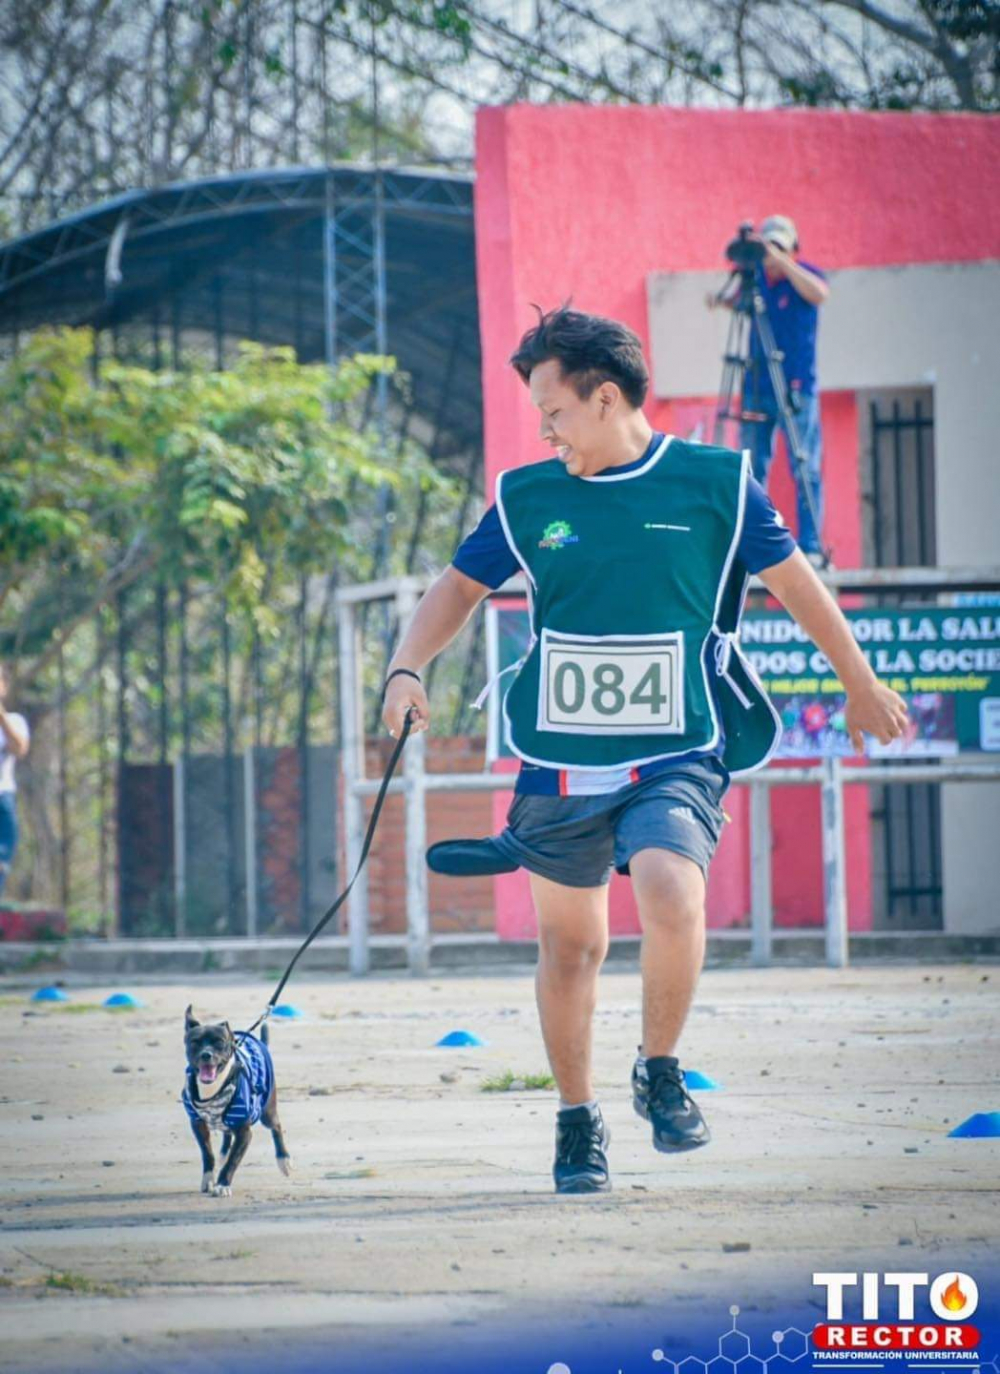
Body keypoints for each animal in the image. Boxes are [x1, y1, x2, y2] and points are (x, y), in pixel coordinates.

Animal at [181, 1005, 291, 1198]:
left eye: (219, 1042)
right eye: (194, 1042)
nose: (206, 1055)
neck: (213, 1089)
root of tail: (259, 1042)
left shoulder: (244, 1132)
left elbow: (233, 1160)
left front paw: (222, 1184)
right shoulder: (197, 1123)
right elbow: (207, 1153)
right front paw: (208, 1179)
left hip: (267, 1111)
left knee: (276, 1127)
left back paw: (283, 1160)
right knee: (226, 1133)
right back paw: (224, 1152)